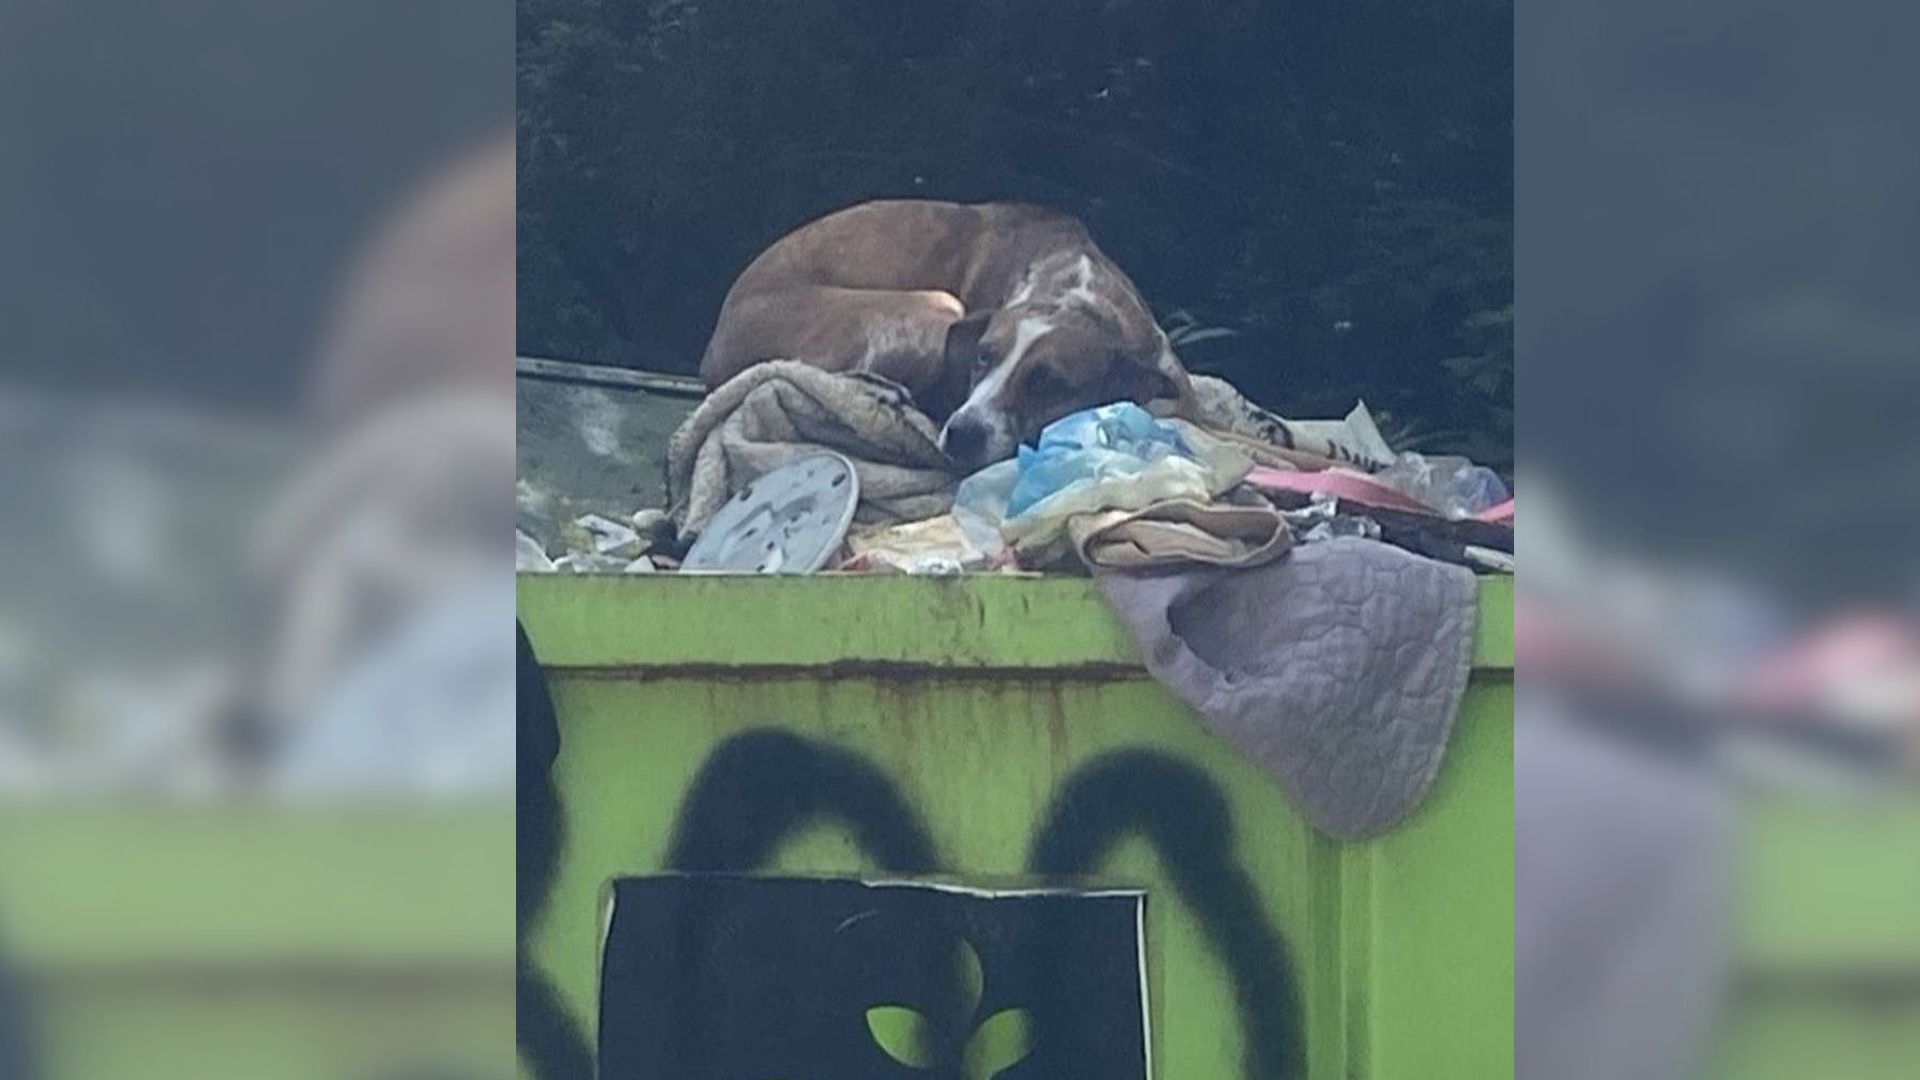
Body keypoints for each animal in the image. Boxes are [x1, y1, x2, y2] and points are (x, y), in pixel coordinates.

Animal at [698, 199, 1190, 468]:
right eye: (983, 357)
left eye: (1049, 383)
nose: (962, 434)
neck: (1077, 293)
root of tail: (714, 345)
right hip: (934, 303)